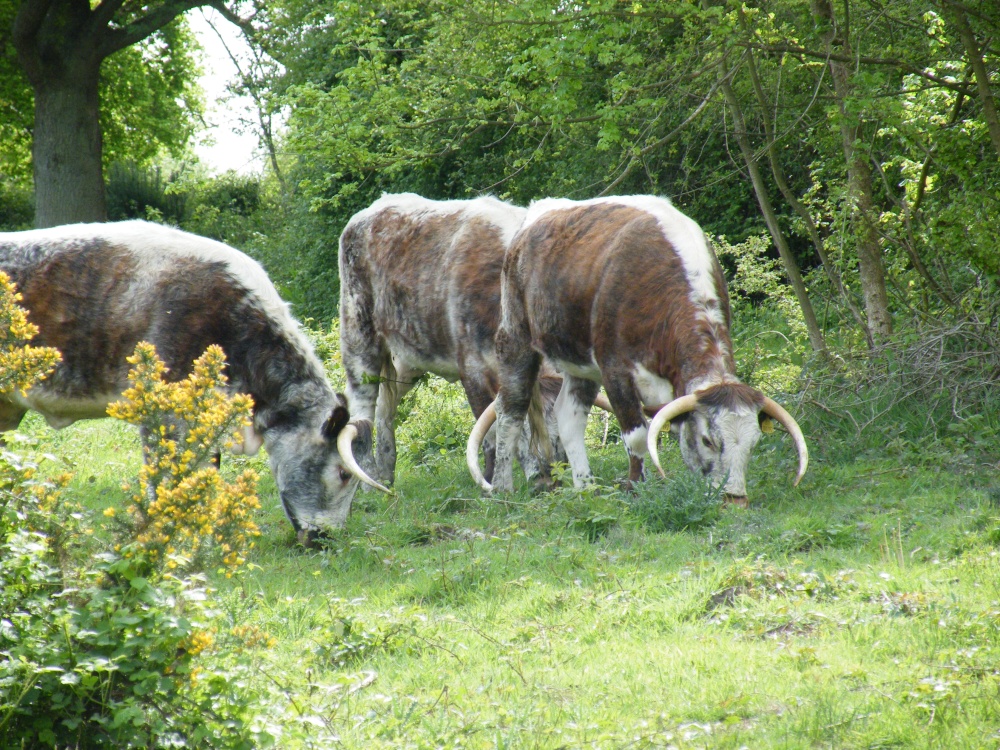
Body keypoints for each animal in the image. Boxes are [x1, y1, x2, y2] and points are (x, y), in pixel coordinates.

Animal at [338, 193, 565, 488]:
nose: (559, 469)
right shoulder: (472, 366)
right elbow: (492, 429)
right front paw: (491, 479)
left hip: (411, 354)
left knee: (385, 407)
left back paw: (386, 471)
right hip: (358, 336)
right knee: (362, 406)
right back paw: (369, 481)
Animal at [467, 196, 808, 505]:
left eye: (753, 444)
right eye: (709, 440)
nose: (735, 499)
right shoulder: (615, 369)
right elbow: (638, 436)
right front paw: (635, 487)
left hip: (579, 363)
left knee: (568, 415)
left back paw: (586, 487)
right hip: (515, 337)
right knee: (510, 410)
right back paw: (502, 488)